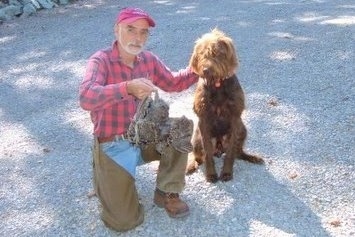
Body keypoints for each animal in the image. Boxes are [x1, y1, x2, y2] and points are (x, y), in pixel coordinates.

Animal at [186, 28, 264, 183]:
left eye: (217, 53)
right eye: (201, 53)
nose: (205, 70)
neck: (217, 85)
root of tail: (219, 148)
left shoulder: (235, 118)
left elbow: (230, 153)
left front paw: (227, 172)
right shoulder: (203, 119)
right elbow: (207, 153)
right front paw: (211, 174)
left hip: (242, 129)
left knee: (238, 152)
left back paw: (252, 157)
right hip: (196, 138)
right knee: (199, 157)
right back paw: (191, 165)